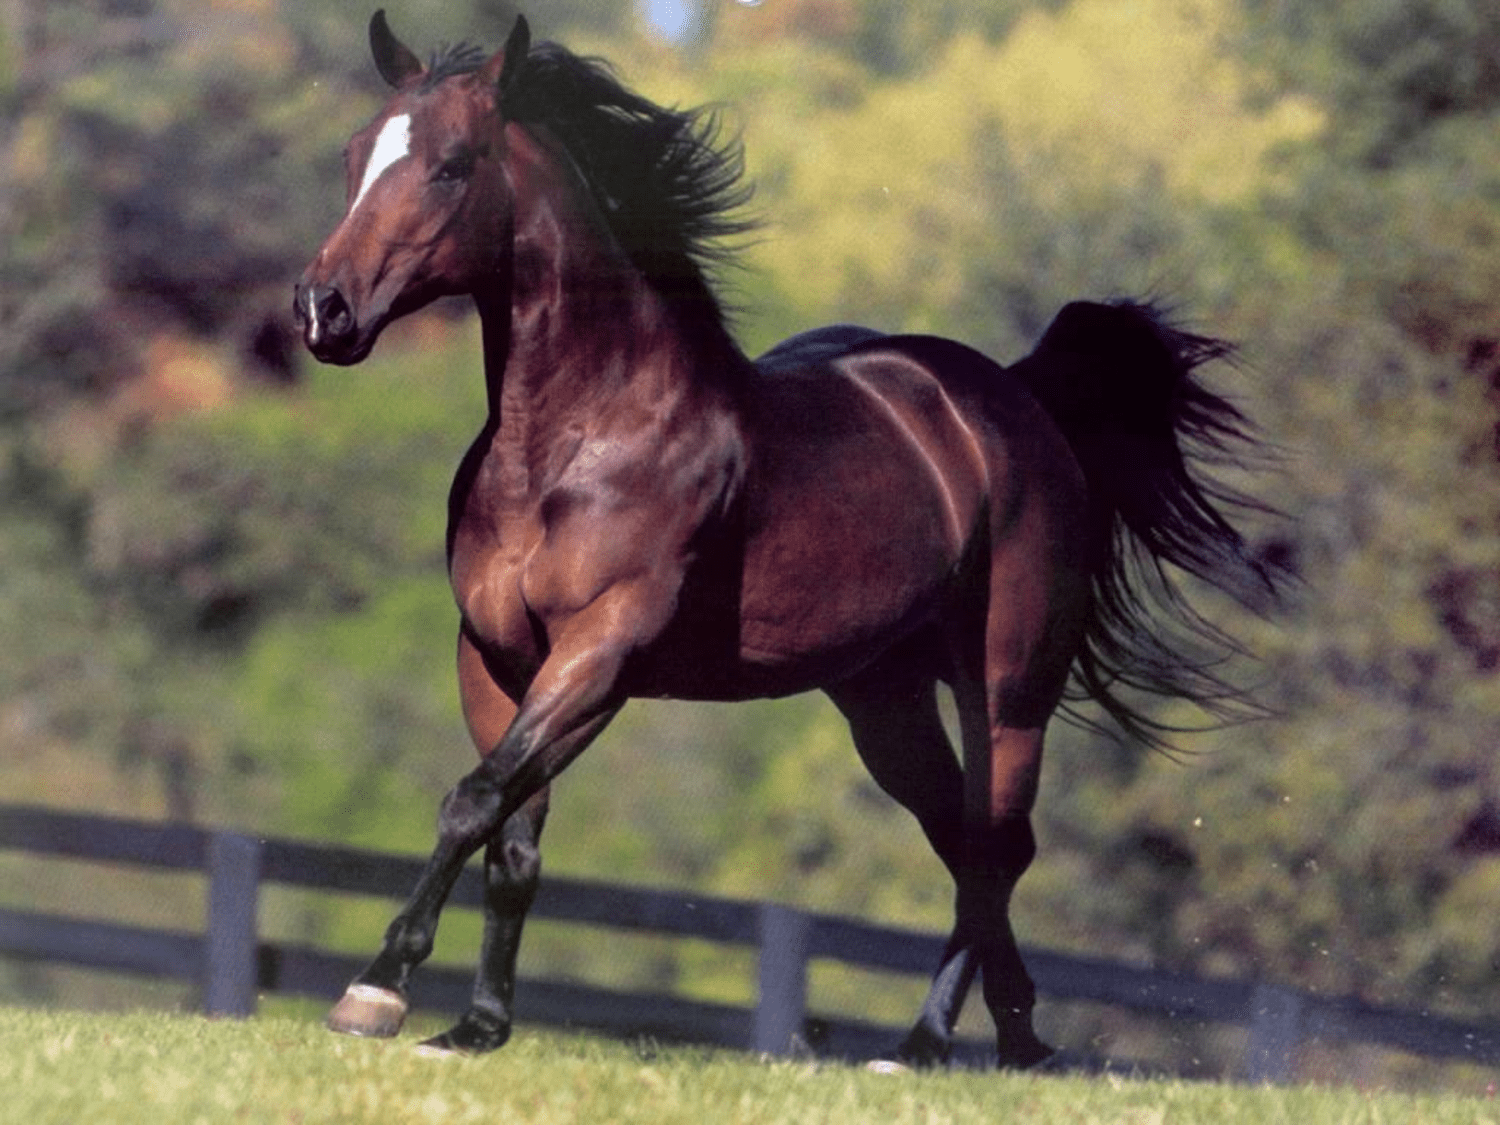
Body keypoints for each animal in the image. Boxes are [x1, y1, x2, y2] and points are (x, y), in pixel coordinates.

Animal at [292, 11, 1282, 1067]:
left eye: (450, 165)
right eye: (354, 153)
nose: (323, 308)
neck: (575, 444)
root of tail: (1013, 399)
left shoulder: (602, 654)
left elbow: (471, 801)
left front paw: (375, 988)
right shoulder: (493, 658)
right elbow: (512, 839)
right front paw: (477, 1026)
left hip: (1010, 690)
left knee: (995, 845)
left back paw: (930, 1040)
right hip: (884, 702)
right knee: (962, 838)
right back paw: (1013, 1037)